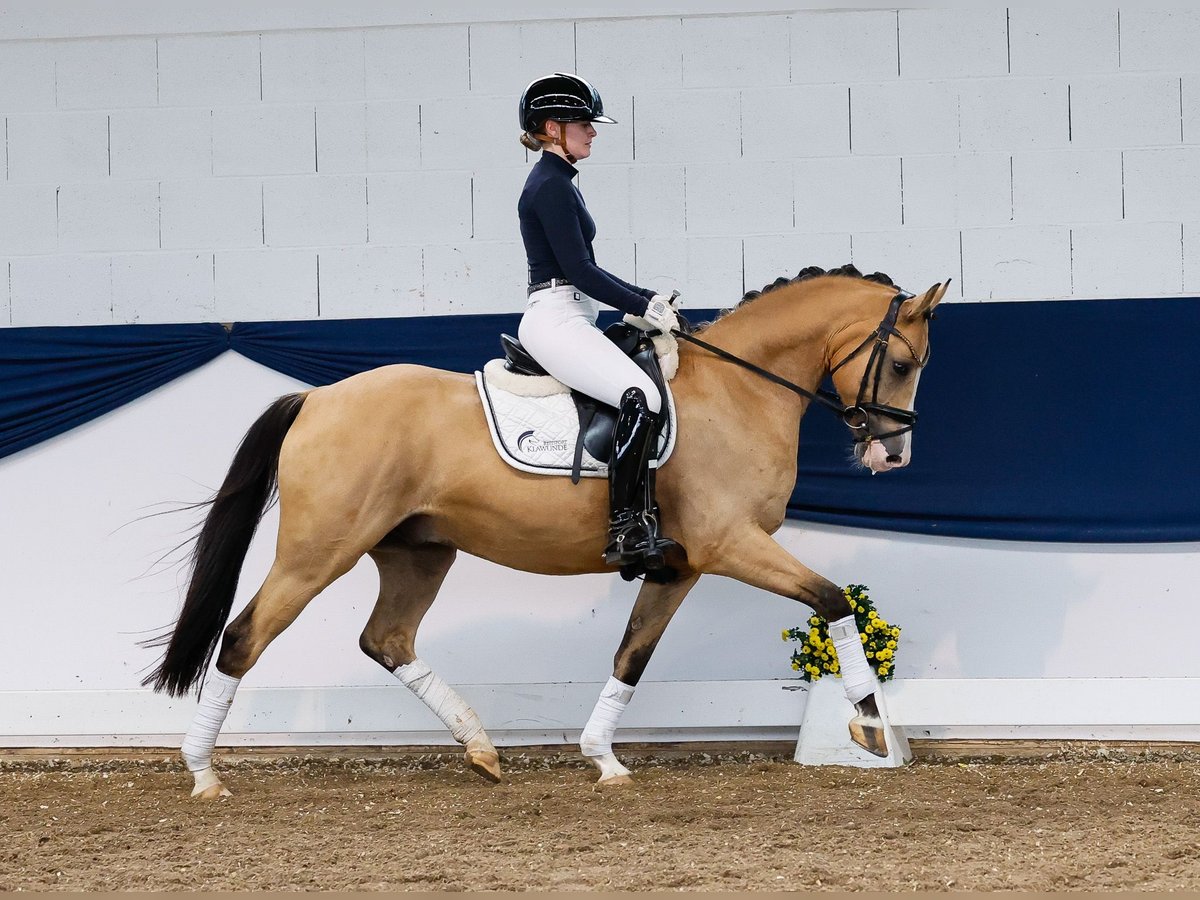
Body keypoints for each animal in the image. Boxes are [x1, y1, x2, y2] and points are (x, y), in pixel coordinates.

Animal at [142, 266, 945, 796]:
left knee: (387, 640)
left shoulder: (678, 566)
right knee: (244, 637)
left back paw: (481, 749)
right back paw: (204, 775)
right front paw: (869, 725)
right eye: (903, 364)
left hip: (419, 553)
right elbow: (833, 600)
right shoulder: (731, 544)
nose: (893, 456)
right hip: (318, 552)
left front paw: (603, 758)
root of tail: (315, 400)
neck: (739, 389)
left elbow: (631, 656)